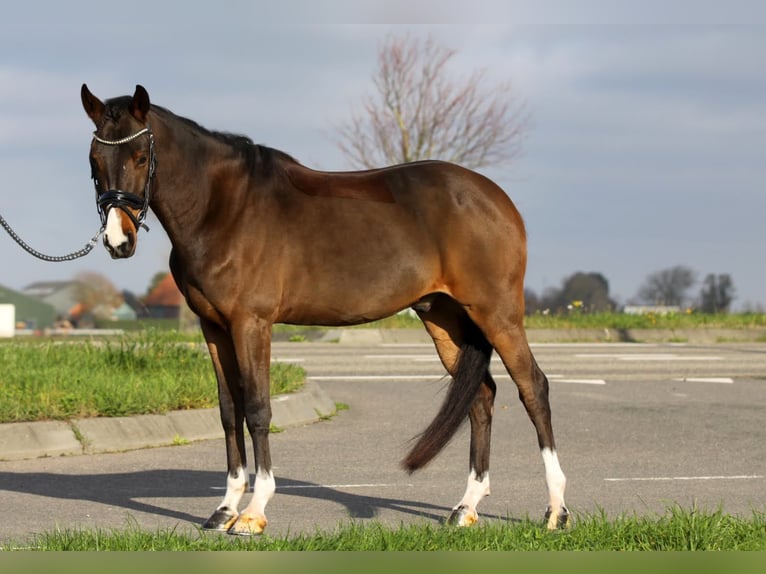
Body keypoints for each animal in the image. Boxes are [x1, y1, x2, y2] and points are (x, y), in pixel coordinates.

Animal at [81, 84, 568, 536]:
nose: (118, 241)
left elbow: (257, 409)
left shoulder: (251, 324)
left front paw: (253, 513)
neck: (225, 209)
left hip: (497, 313)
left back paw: (555, 510)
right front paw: (224, 510)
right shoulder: (214, 328)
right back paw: (466, 507)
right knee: (481, 397)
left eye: (140, 156)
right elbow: (228, 411)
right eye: (94, 161)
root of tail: (495, 198)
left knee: (533, 388)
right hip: (443, 316)